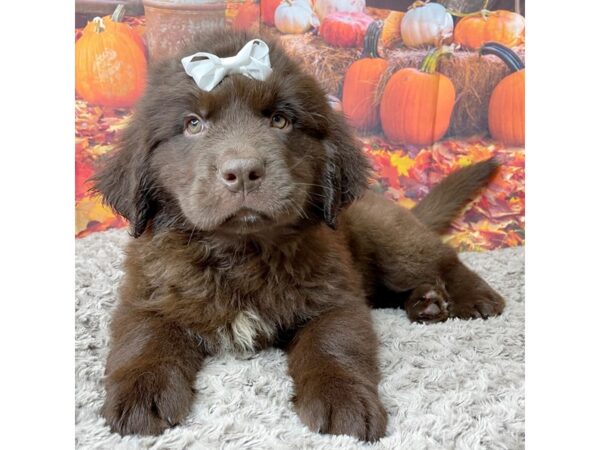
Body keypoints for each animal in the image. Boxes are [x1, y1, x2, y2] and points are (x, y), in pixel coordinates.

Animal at [92, 29, 506, 442]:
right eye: (193, 124)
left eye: (280, 120)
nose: (242, 171)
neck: (242, 250)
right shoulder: (148, 291)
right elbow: (143, 337)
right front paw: (141, 389)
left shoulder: (335, 295)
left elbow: (334, 342)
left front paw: (343, 399)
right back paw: (428, 303)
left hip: (391, 240)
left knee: (442, 259)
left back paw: (475, 297)